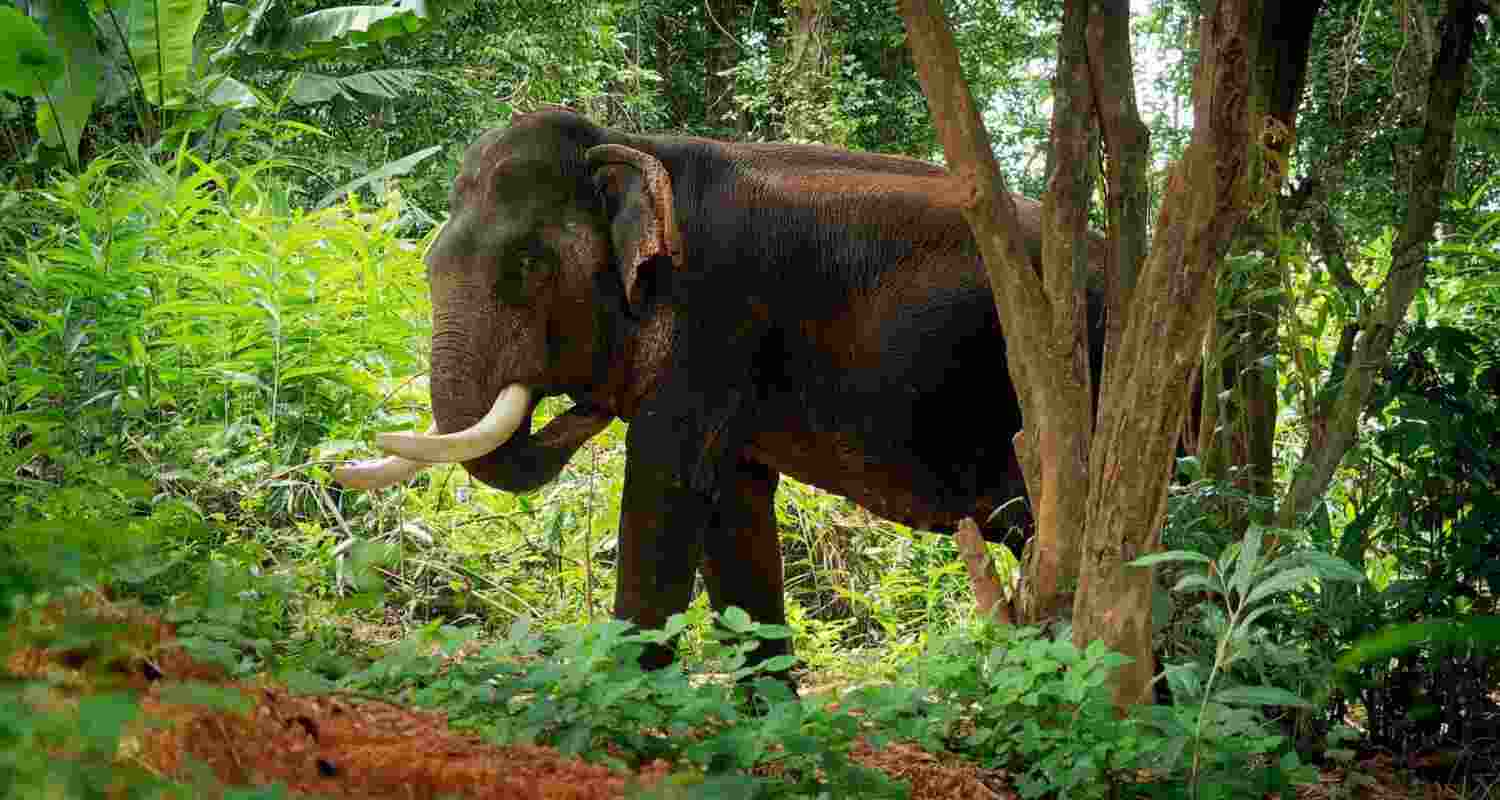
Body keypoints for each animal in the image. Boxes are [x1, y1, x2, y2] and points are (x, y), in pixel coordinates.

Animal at [335, 106, 1105, 674]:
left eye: (527, 267)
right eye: (429, 264)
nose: (575, 405)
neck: (635, 144)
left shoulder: (716, 316)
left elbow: (665, 487)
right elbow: (734, 509)